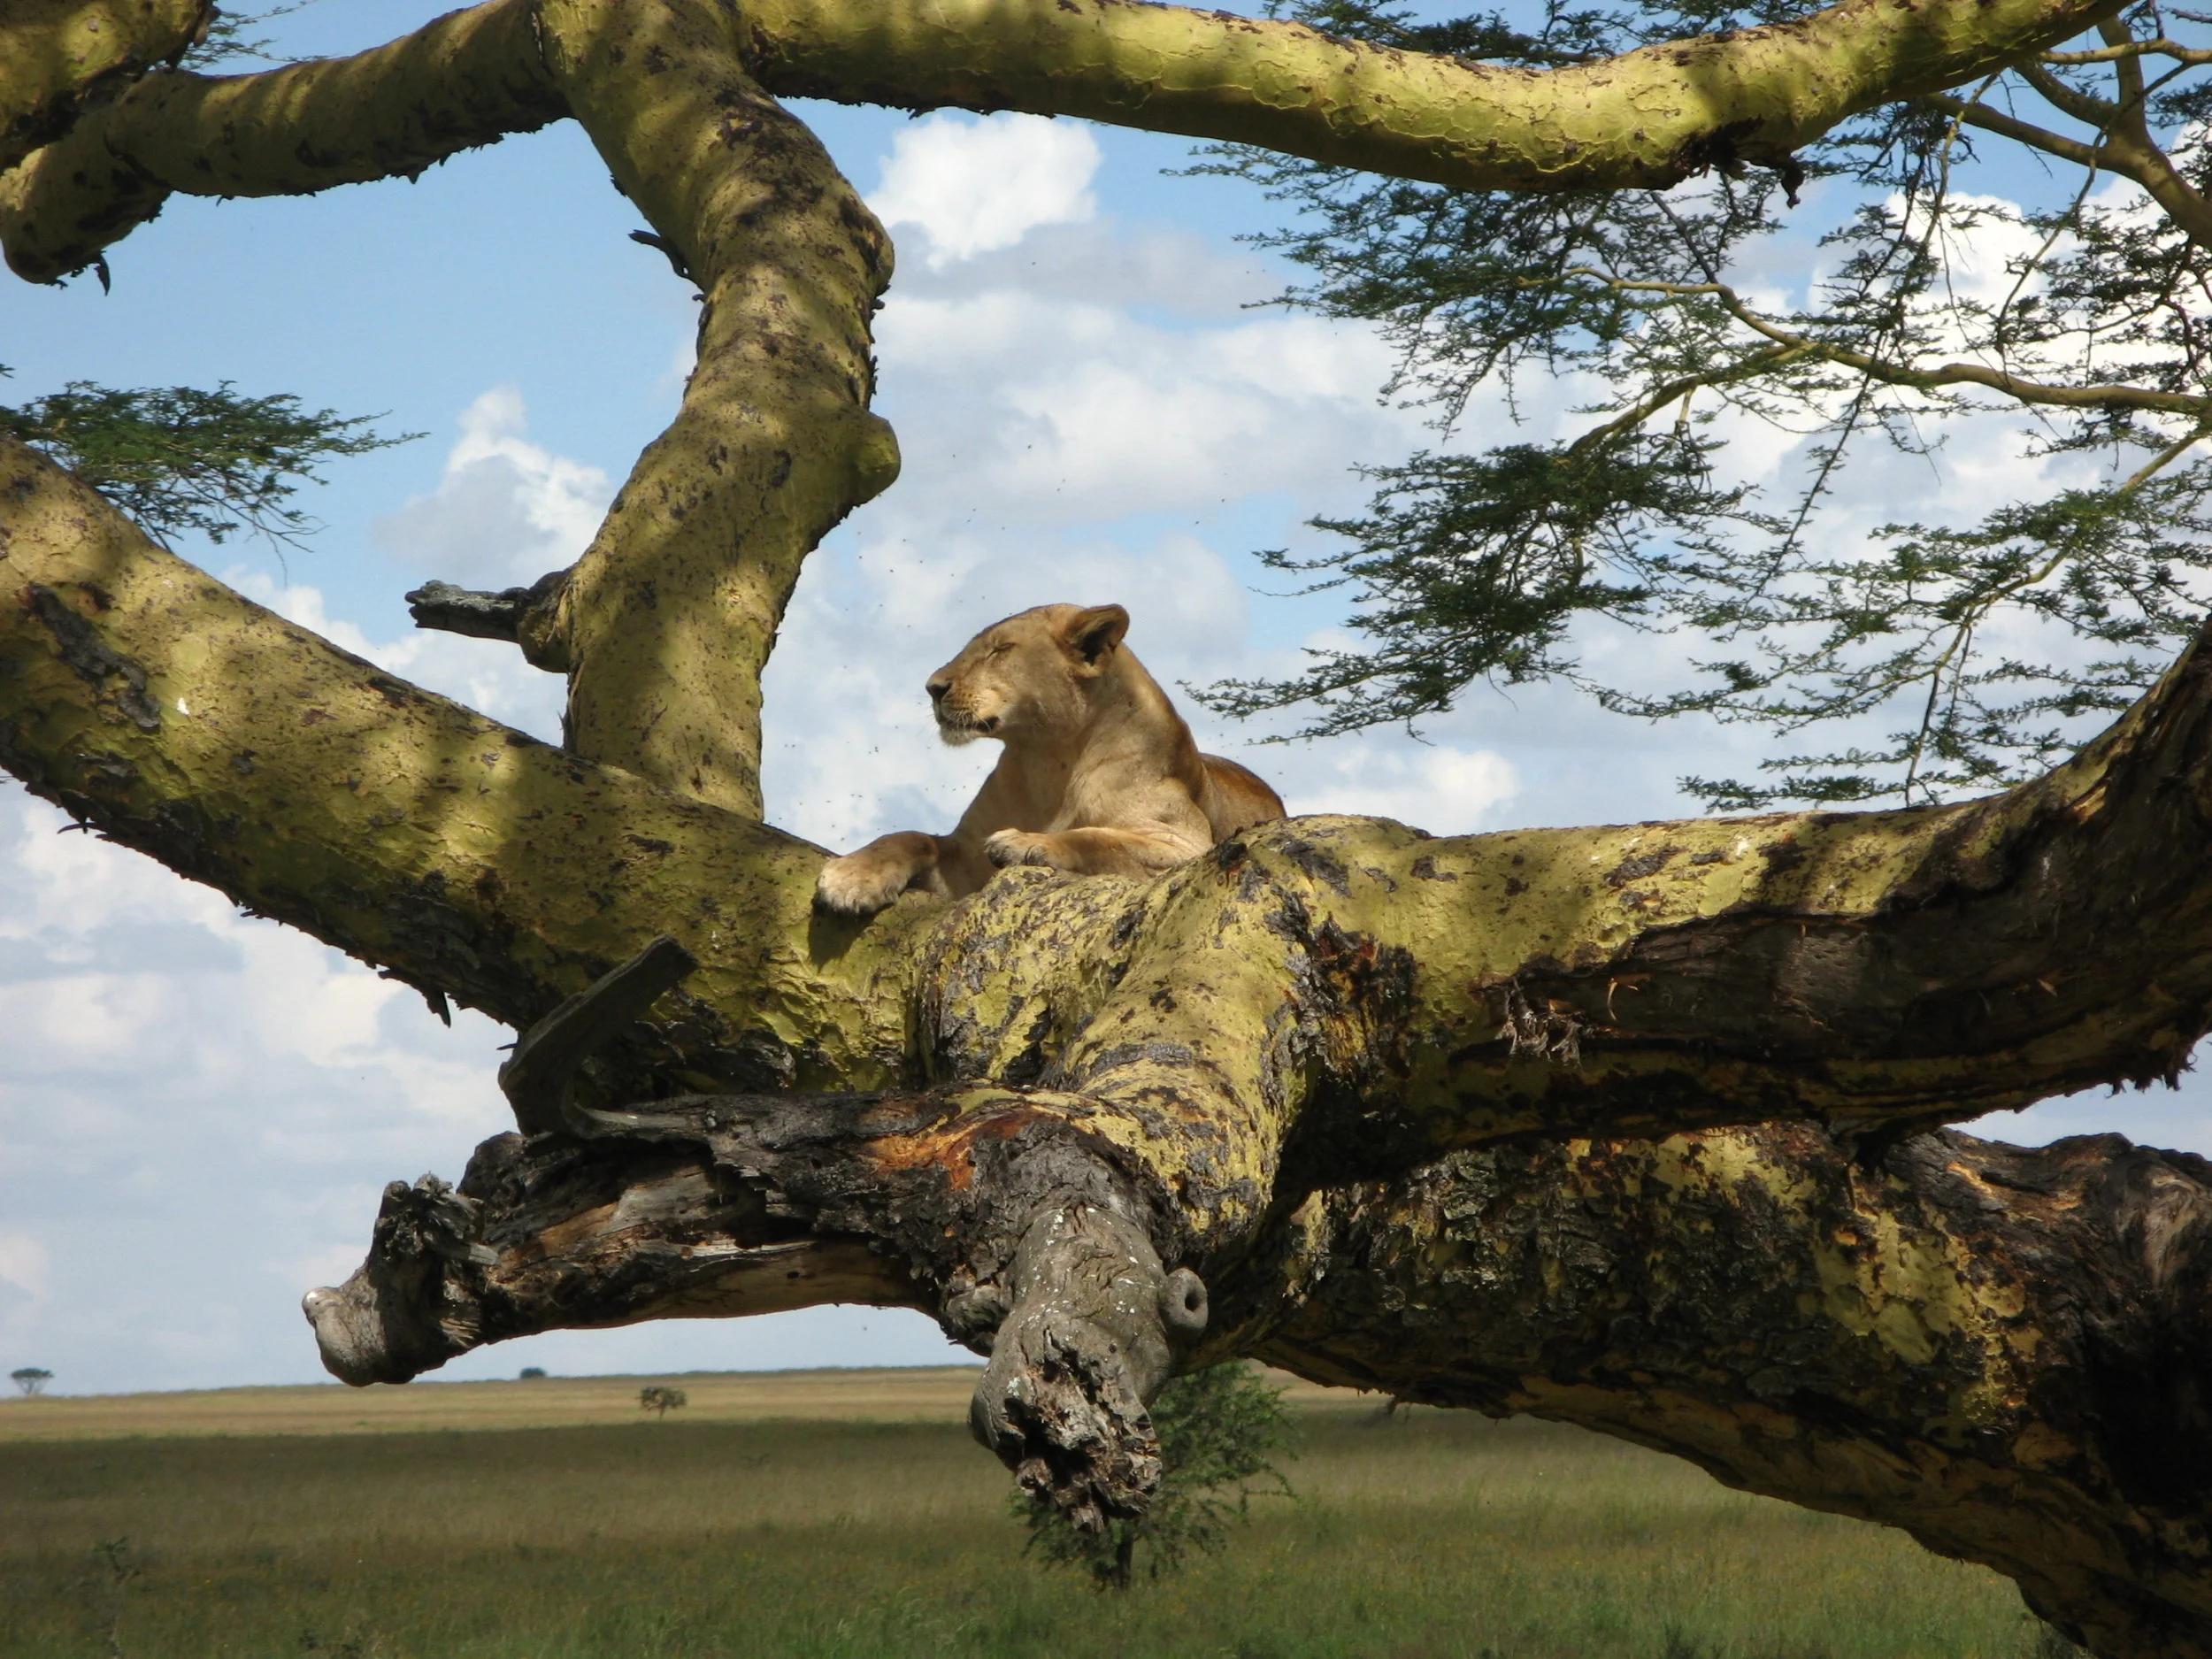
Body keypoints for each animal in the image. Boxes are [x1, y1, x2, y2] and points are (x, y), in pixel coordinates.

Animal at [813, 603, 1285, 915]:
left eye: (1000, 650)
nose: (933, 687)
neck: (1046, 759)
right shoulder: (962, 861)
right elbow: (911, 837)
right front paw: (852, 876)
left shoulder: (1183, 845)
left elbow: (1097, 837)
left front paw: (1025, 842)